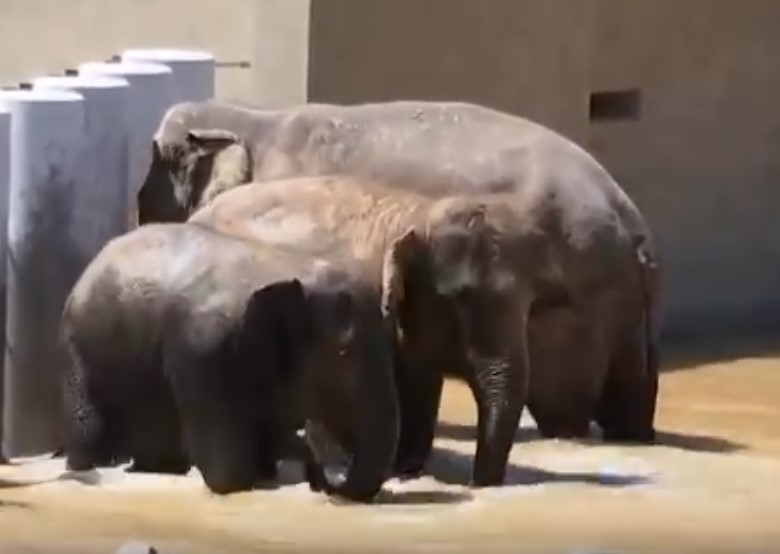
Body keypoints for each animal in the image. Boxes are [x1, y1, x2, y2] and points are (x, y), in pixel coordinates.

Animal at [60, 222, 399, 502]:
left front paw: (268, 471)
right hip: (82, 345)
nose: (324, 482)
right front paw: (240, 482)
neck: (291, 265)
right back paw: (90, 467)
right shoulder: (203, 348)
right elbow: (228, 471)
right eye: (345, 352)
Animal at [189, 174, 661, 487]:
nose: (480, 485)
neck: (415, 213)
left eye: (532, 306)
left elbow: (419, 380)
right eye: (460, 299)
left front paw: (409, 470)